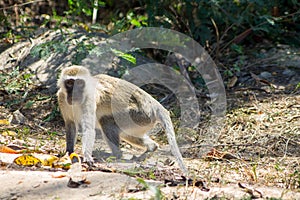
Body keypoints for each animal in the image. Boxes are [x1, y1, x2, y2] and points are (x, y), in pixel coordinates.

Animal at [57, 64, 186, 173]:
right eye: (70, 83)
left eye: (79, 83)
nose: (74, 93)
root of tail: (154, 104)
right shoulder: (61, 97)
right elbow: (70, 125)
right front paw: (68, 152)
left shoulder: (90, 98)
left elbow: (88, 129)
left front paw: (87, 156)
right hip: (142, 120)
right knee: (126, 134)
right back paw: (151, 147)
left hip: (139, 115)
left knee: (106, 122)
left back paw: (116, 155)